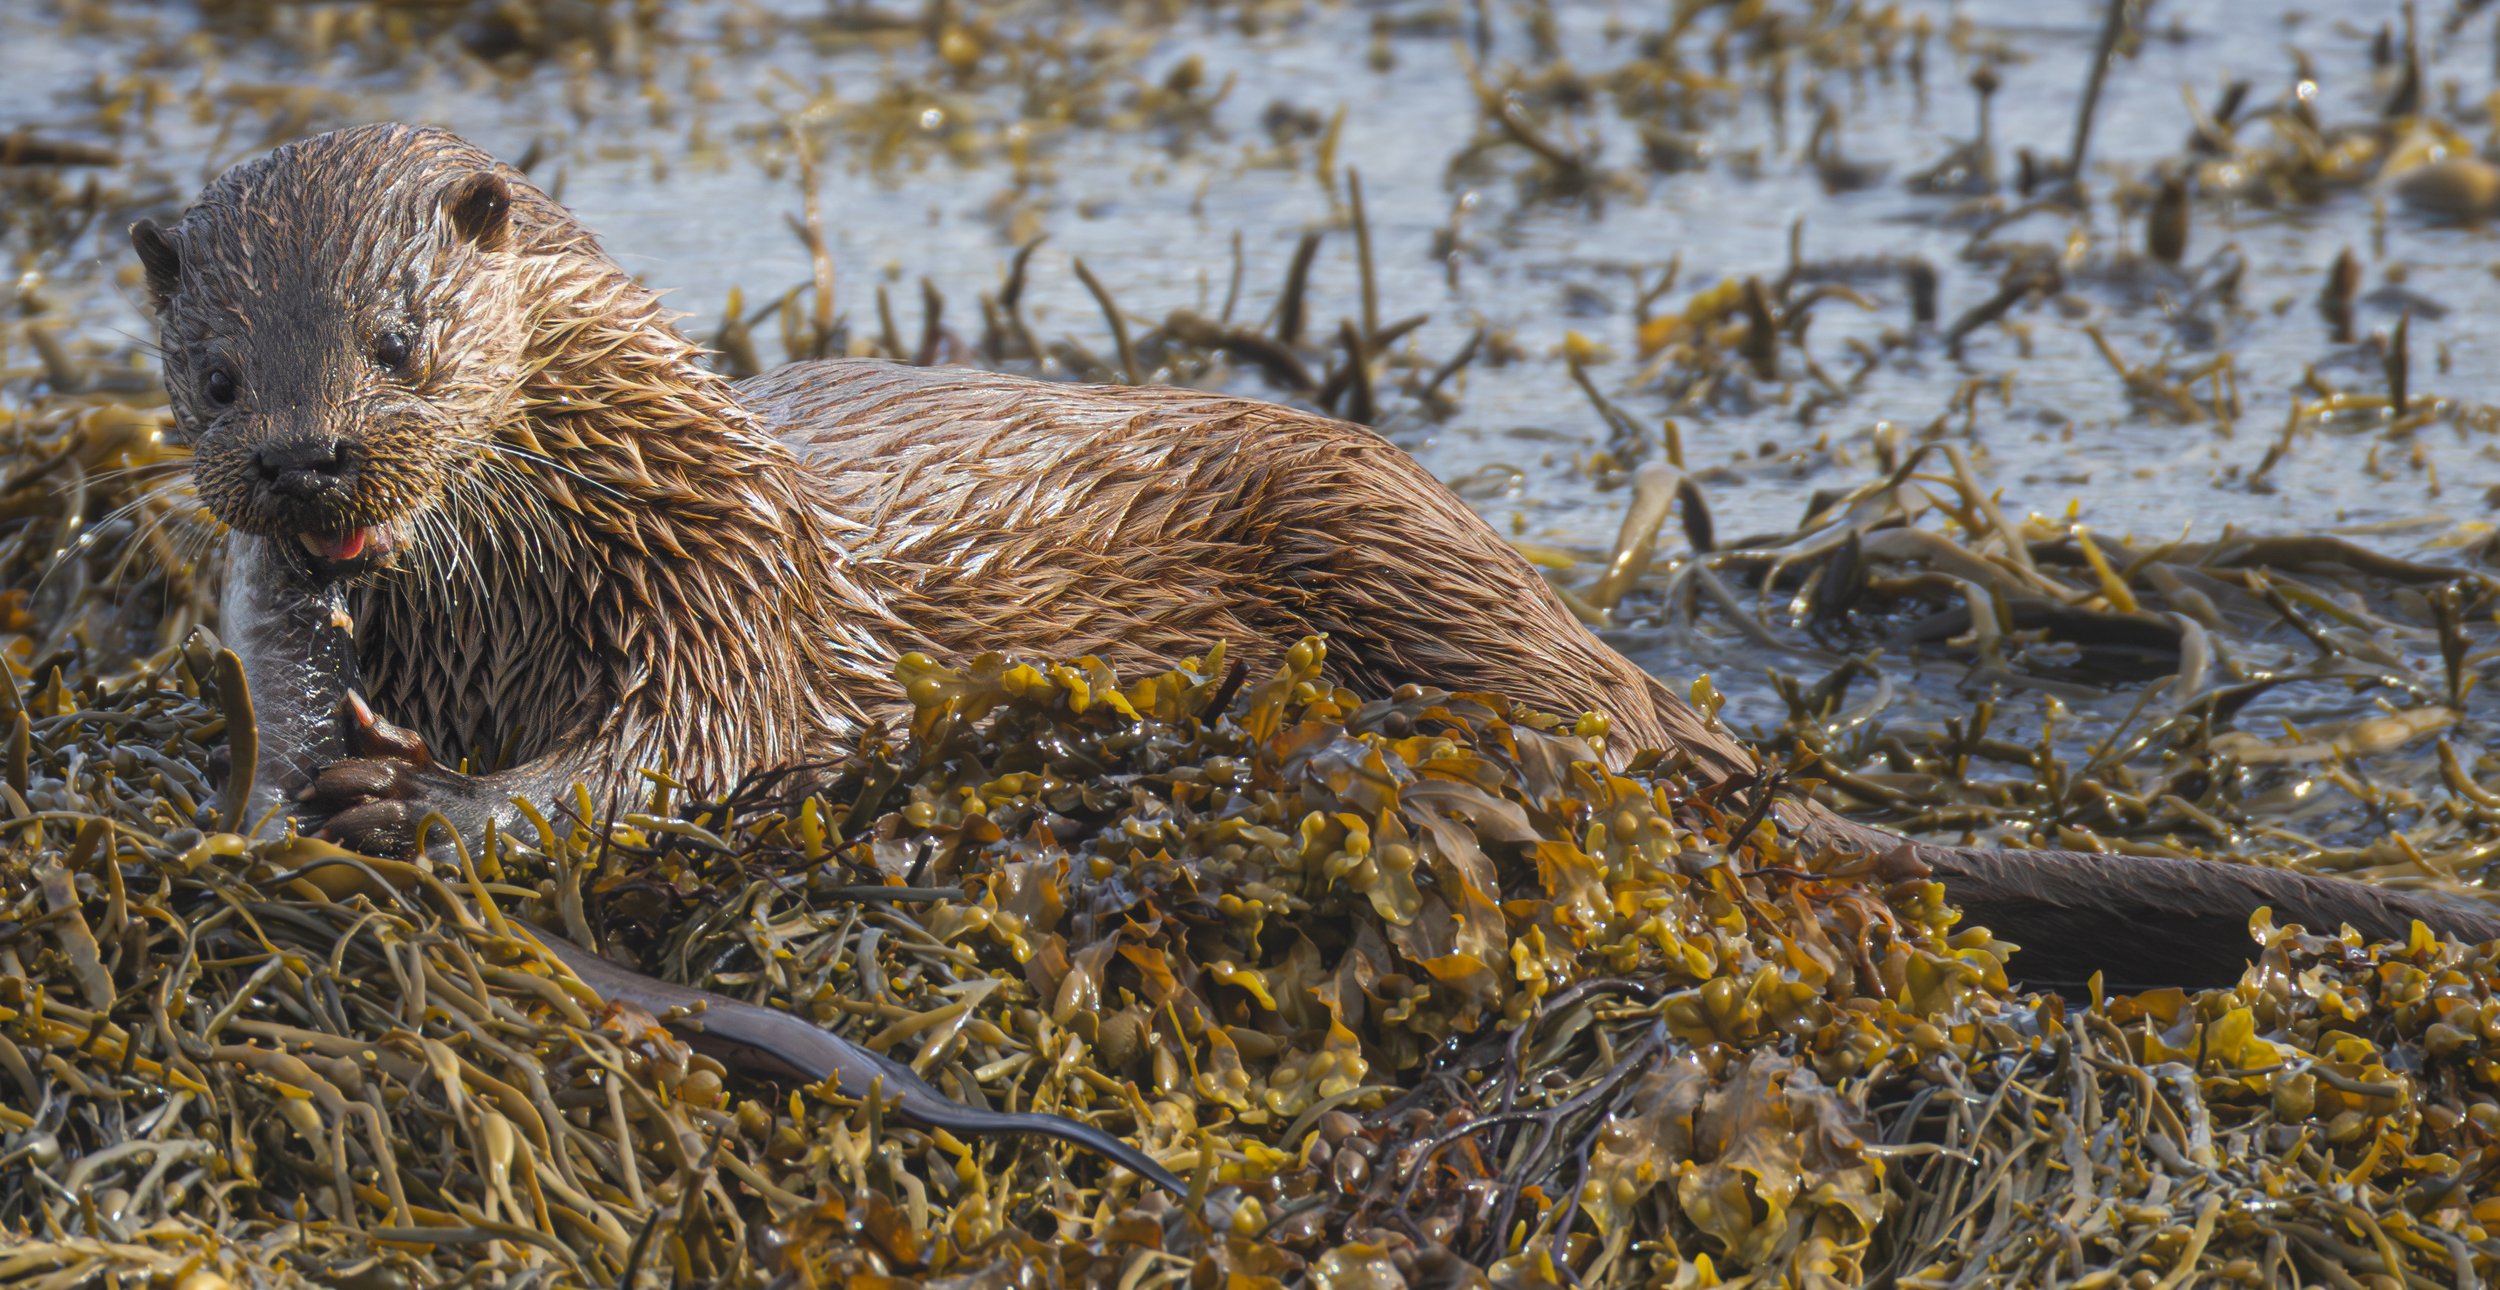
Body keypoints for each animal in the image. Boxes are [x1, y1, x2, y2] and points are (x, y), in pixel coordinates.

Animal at [134, 123, 2498, 1003]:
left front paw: (440, 814)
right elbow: (272, 703)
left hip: (1391, 557)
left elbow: (690, 747)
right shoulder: (286, 612)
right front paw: (280, 804)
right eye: (220, 369)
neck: (502, 590)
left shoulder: (738, 593)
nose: (315, 461)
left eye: (405, 339)